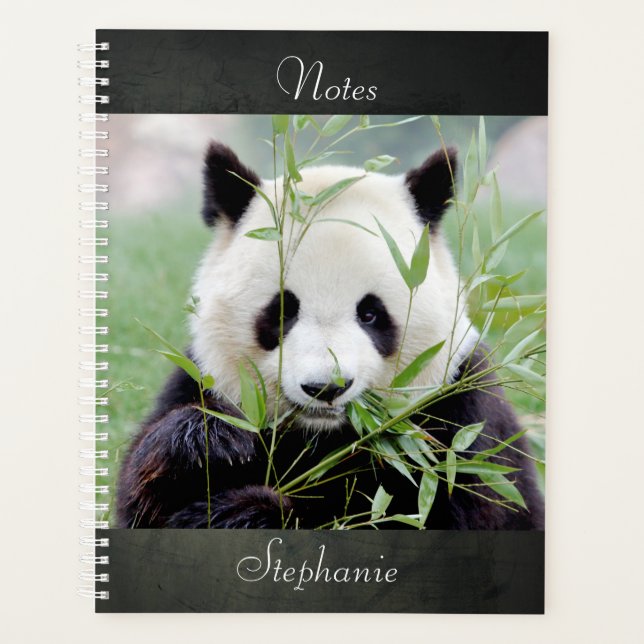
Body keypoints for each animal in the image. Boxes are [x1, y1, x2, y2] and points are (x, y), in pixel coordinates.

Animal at [116, 141, 544, 530]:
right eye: (283, 311)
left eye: (370, 314)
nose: (326, 387)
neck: (322, 436)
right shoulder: (204, 379)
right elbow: (140, 498)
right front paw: (211, 442)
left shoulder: (458, 417)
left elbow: (427, 513)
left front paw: (245, 514)